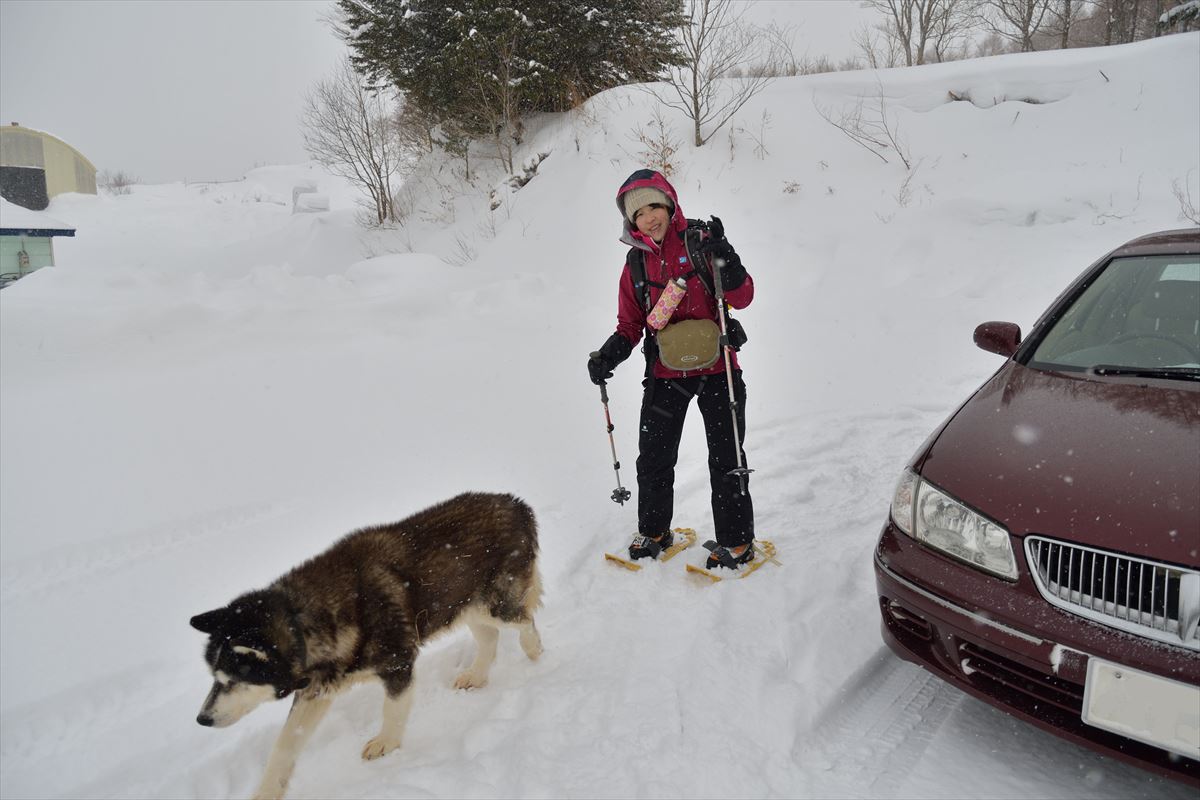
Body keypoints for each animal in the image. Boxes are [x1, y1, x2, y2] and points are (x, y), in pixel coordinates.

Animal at [190, 491, 544, 796]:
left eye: (233, 680)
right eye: (215, 678)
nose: (202, 720)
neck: (305, 620)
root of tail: (516, 503)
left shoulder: (398, 663)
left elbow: (393, 710)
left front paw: (387, 744)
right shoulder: (316, 689)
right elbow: (284, 745)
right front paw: (266, 792)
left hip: (496, 606)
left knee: (525, 619)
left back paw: (535, 652)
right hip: (463, 605)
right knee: (490, 636)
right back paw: (477, 675)